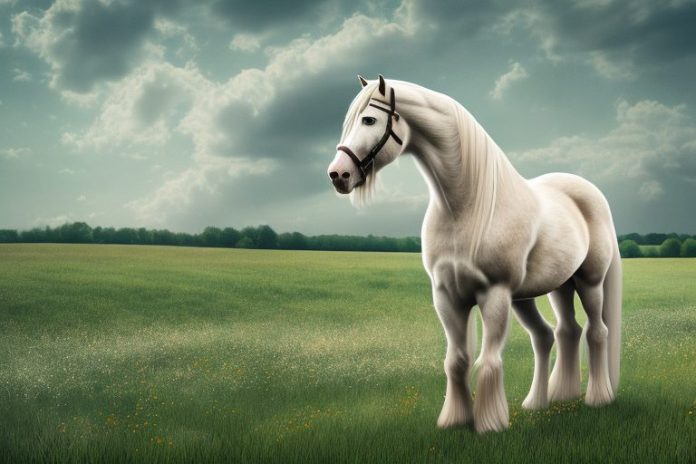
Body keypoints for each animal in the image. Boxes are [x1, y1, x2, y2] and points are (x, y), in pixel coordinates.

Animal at [327, 75, 622, 433]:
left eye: (369, 120)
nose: (338, 175)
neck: (465, 207)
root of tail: (590, 192)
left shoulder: (493, 294)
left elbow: (488, 360)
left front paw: (489, 424)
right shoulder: (446, 296)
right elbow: (456, 361)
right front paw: (454, 420)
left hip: (588, 282)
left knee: (596, 332)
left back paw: (598, 398)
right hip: (552, 289)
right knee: (557, 334)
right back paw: (545, 400)